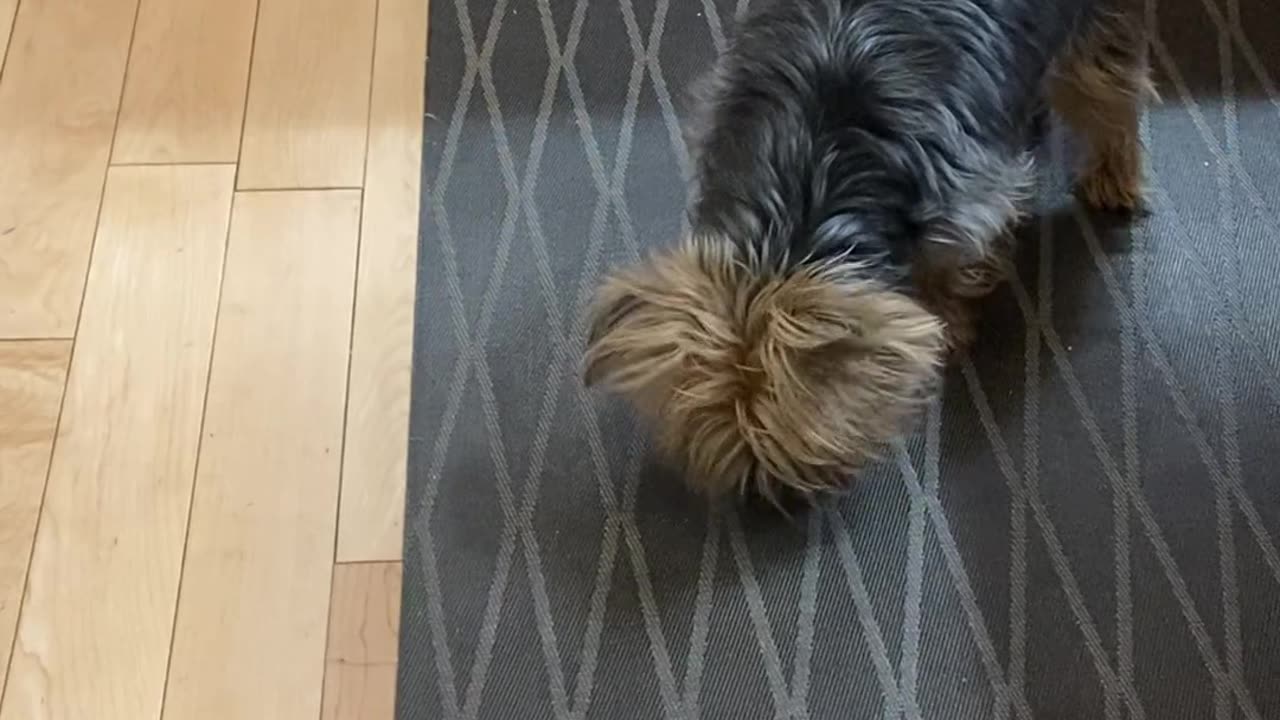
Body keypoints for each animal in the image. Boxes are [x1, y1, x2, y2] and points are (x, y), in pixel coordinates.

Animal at [586, 0, 1157, 499]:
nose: (766, 489)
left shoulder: (966, 193)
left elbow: (945, 265)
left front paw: (946, 322)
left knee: (1104, 81)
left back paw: (1113, 175)